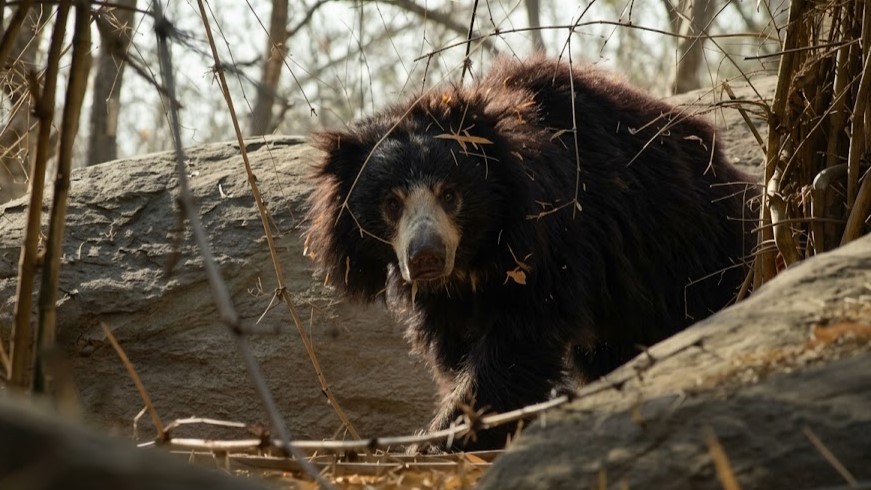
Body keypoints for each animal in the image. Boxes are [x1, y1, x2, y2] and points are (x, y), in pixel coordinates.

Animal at [303, 55, 753, 452]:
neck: (475, 258)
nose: (426, 256)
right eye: (391, 203)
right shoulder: (446, 300)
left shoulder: (552, 241)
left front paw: (437, 441)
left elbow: (518, 343)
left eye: (450, 195)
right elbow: (456, 349)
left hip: (695, 257)